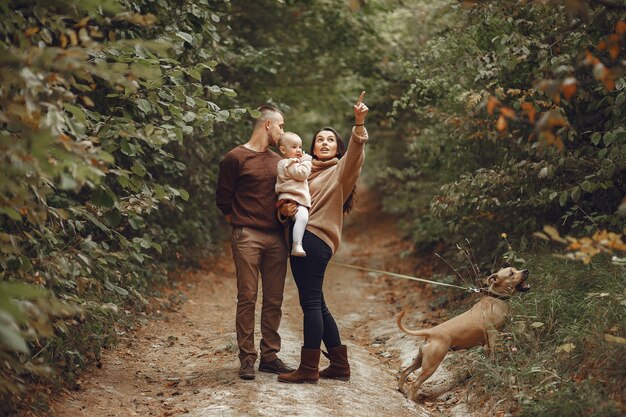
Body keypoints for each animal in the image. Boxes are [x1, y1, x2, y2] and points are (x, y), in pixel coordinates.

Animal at [394, 266, 528, 400]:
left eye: (516, 269)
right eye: (511, 273)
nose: (526, 271)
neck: (496, 298)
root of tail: (431, 332)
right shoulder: (493, 334)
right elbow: (494, 353)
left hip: (420, 360)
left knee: (406, 371)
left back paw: (400, 388)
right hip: (431, 365)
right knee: (415, 384)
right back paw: (411, 399)